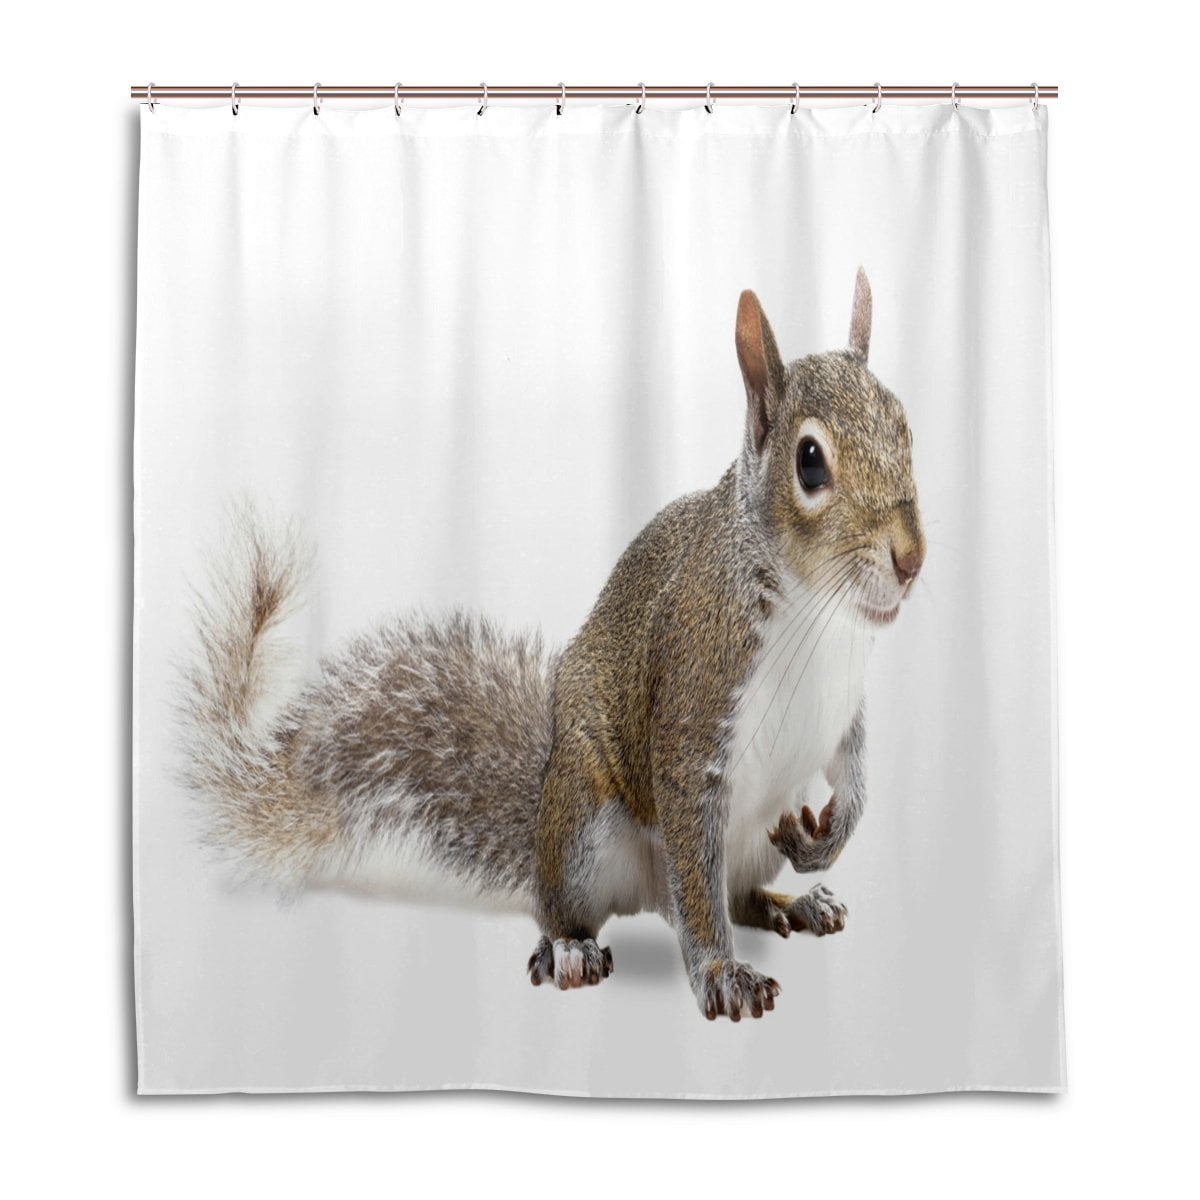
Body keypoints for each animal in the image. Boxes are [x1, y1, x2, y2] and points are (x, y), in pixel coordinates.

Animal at [179, 268, 925, 1022]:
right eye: (810, 462)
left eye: (906, 427)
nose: (911, 558)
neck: (818, 612)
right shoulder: (693, 709)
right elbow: (694, 858)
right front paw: (720, 972)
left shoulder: (843, 705)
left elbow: (853, 773)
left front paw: (828, 838)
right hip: (584, 832)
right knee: (599, 905)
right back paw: (570, 949)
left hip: (749, 844)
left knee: (736, 895)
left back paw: (794, 902)